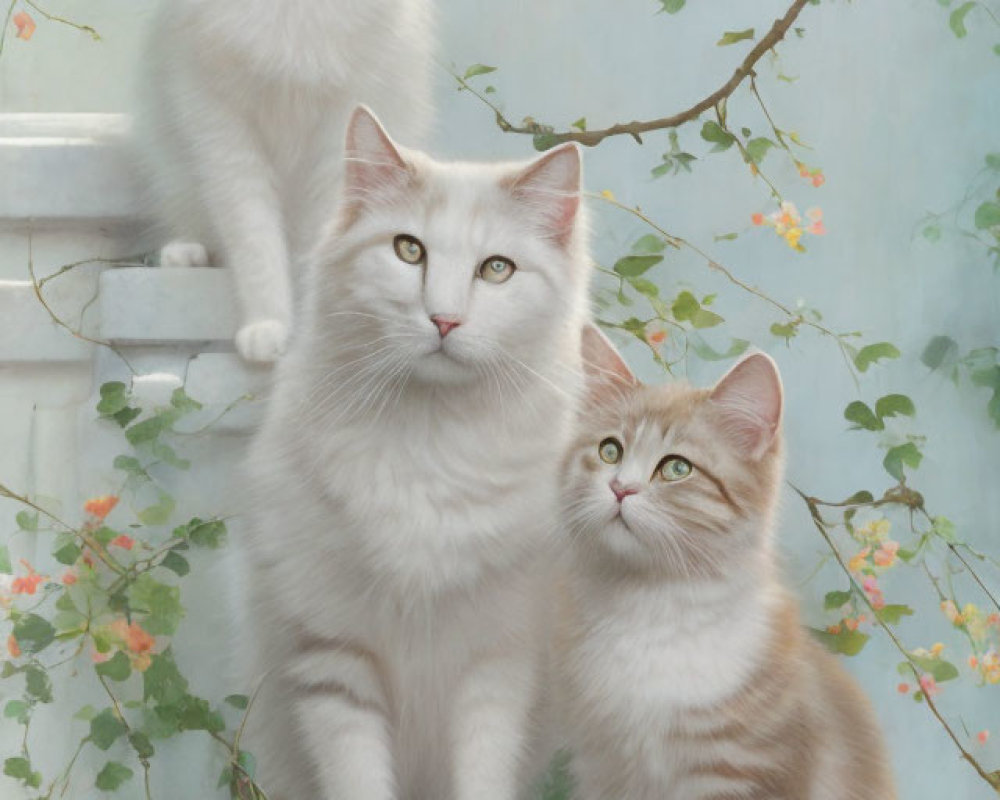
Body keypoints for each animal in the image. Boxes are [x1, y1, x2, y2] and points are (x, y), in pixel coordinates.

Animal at [136, 0, 430, 360]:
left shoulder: (338, 131)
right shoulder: (223, 131)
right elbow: (255, 245)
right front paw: (267, 325)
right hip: (173, 170)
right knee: (194, 226)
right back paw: (186, 253)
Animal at [238, 108, 588, 800]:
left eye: (497, 270)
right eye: (409, 250)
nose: (444, 321)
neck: (433, 439)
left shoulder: (497, 663)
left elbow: (483, 776)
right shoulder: (334, 660)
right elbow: (358, 779)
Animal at [556, 326, 900, 800]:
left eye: (676, 468)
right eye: (610, 451)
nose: (620, 488)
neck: (649, 608)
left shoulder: (741, 772)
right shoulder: (601, 765)